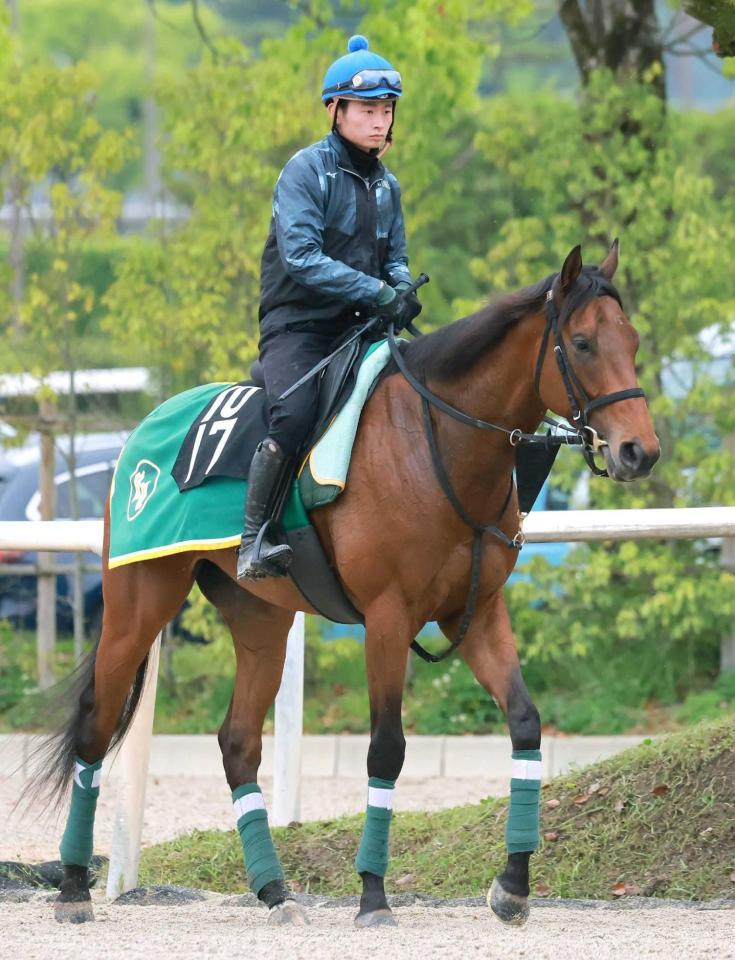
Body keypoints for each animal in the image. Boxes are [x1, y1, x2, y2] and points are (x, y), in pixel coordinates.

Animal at [27, 242, 660, 928]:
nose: (640, 451)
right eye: (583, 342)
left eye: (632, 340)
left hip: (261, 620)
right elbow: (386, 748)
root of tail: (142, 436)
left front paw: (513, 884)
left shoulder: (477, 612)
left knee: (238, 743)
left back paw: (275, 893)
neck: (434, 444)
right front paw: (374, 893)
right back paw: (73, 887)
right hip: (138, 604)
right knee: (96, 722)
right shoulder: (387, 618)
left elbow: (524, 722)